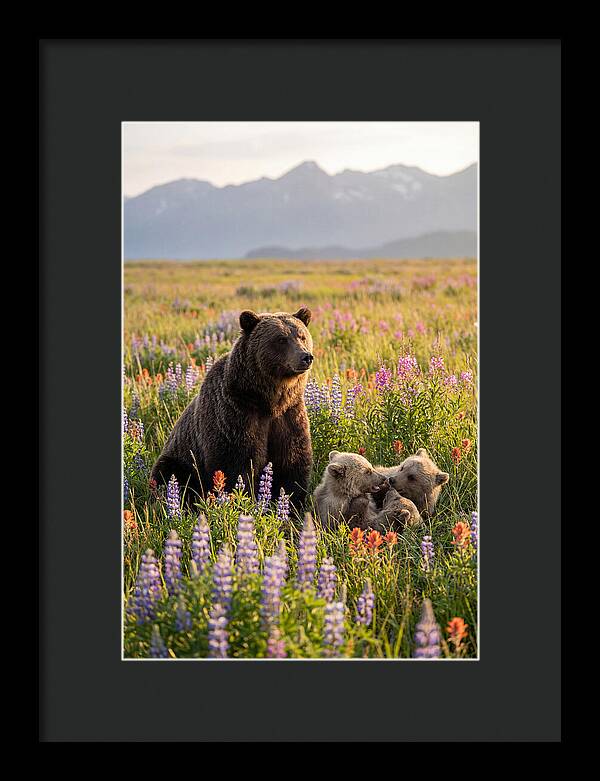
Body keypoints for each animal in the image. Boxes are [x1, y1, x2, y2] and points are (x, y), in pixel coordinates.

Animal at [150, 307, 314, 505]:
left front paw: (292, 503)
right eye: (281, 339)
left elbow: (292, 461)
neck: (268, 400)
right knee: (170, 474)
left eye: (302, 336)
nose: (305, 357)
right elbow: (235, 464)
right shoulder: (235, 414)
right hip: (180, 458)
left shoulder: (289, 415)